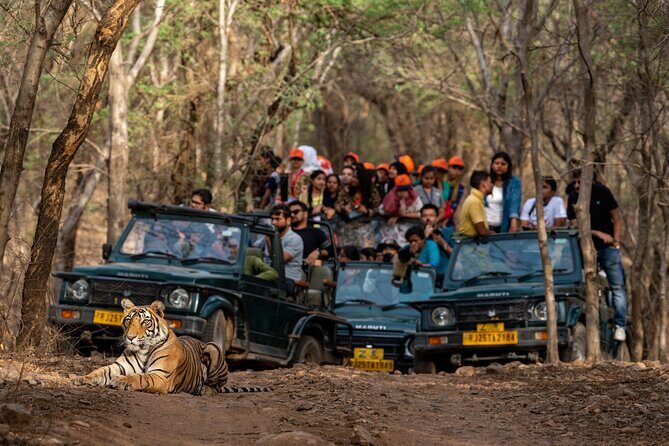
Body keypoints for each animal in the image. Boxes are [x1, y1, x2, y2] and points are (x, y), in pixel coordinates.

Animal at [71, 298, 270, 395]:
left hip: (213, 348)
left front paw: (122, 381)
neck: (143, 349)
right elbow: (99, 372)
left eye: (144, 322)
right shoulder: (118, 366)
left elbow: (140, 377)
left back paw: (205, 390)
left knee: (218, 386)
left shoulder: (161, 376)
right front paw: (80, 378)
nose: (130, 337)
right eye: (128, 321)